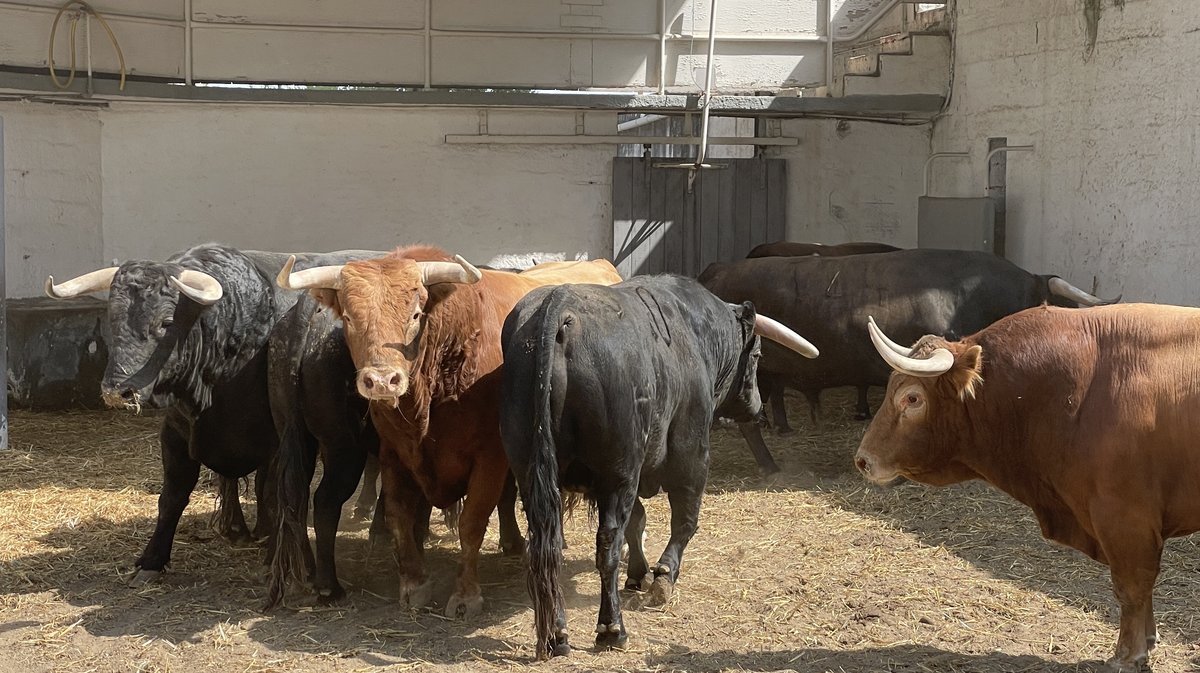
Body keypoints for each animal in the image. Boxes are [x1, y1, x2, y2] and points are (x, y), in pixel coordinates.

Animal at [277, 245, 624, 614]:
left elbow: (472, 521)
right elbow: (399, 514)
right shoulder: (394, 452)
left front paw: (465, 594)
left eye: (416, 315)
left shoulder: (489, 457)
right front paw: (414, 582)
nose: (382, 381)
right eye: (350, 318)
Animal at [859, 305, 1200, 671]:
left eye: (912, 398)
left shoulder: (1125, 518)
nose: (862, 460)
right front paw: (1148, 640)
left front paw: (1128, 654)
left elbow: (1132, 586)